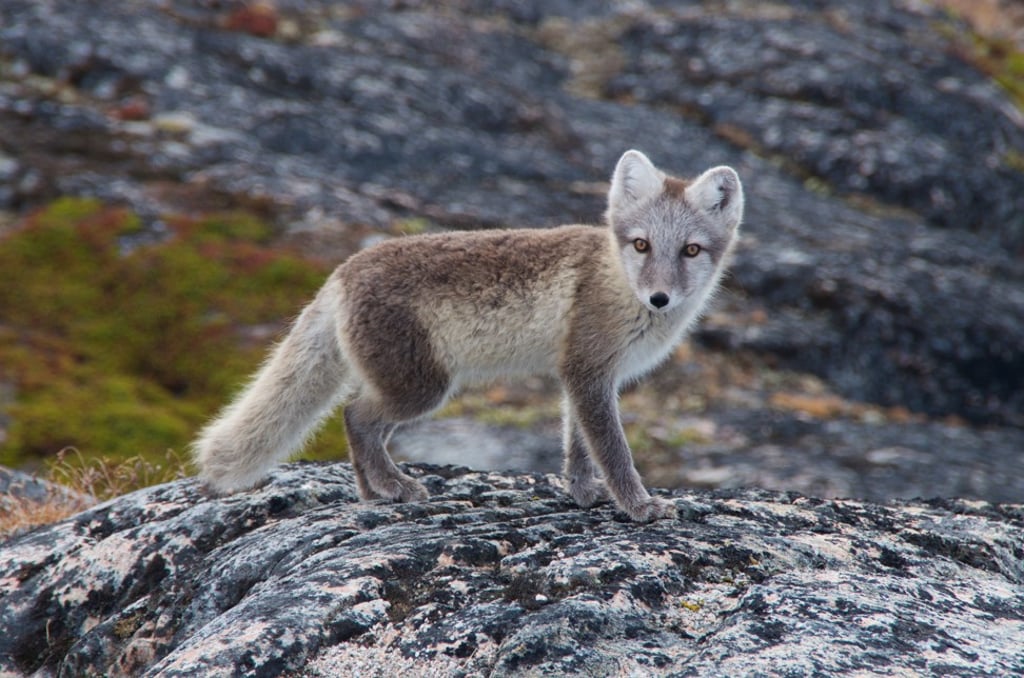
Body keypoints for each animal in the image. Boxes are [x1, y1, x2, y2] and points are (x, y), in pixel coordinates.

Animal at [192, 150, 743, 522]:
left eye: (692, 250)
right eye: (641, 245)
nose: (659, 299)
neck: (614, 279)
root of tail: (342, 271)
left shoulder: (580, 377)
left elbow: (578, 446)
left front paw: (584, 493)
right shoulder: (588, 372)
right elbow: (613, 450)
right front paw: (639, 505)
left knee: (357, 420)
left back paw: (372, 493)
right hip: (422, 389)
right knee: (356, 416)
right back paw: (395, 487)